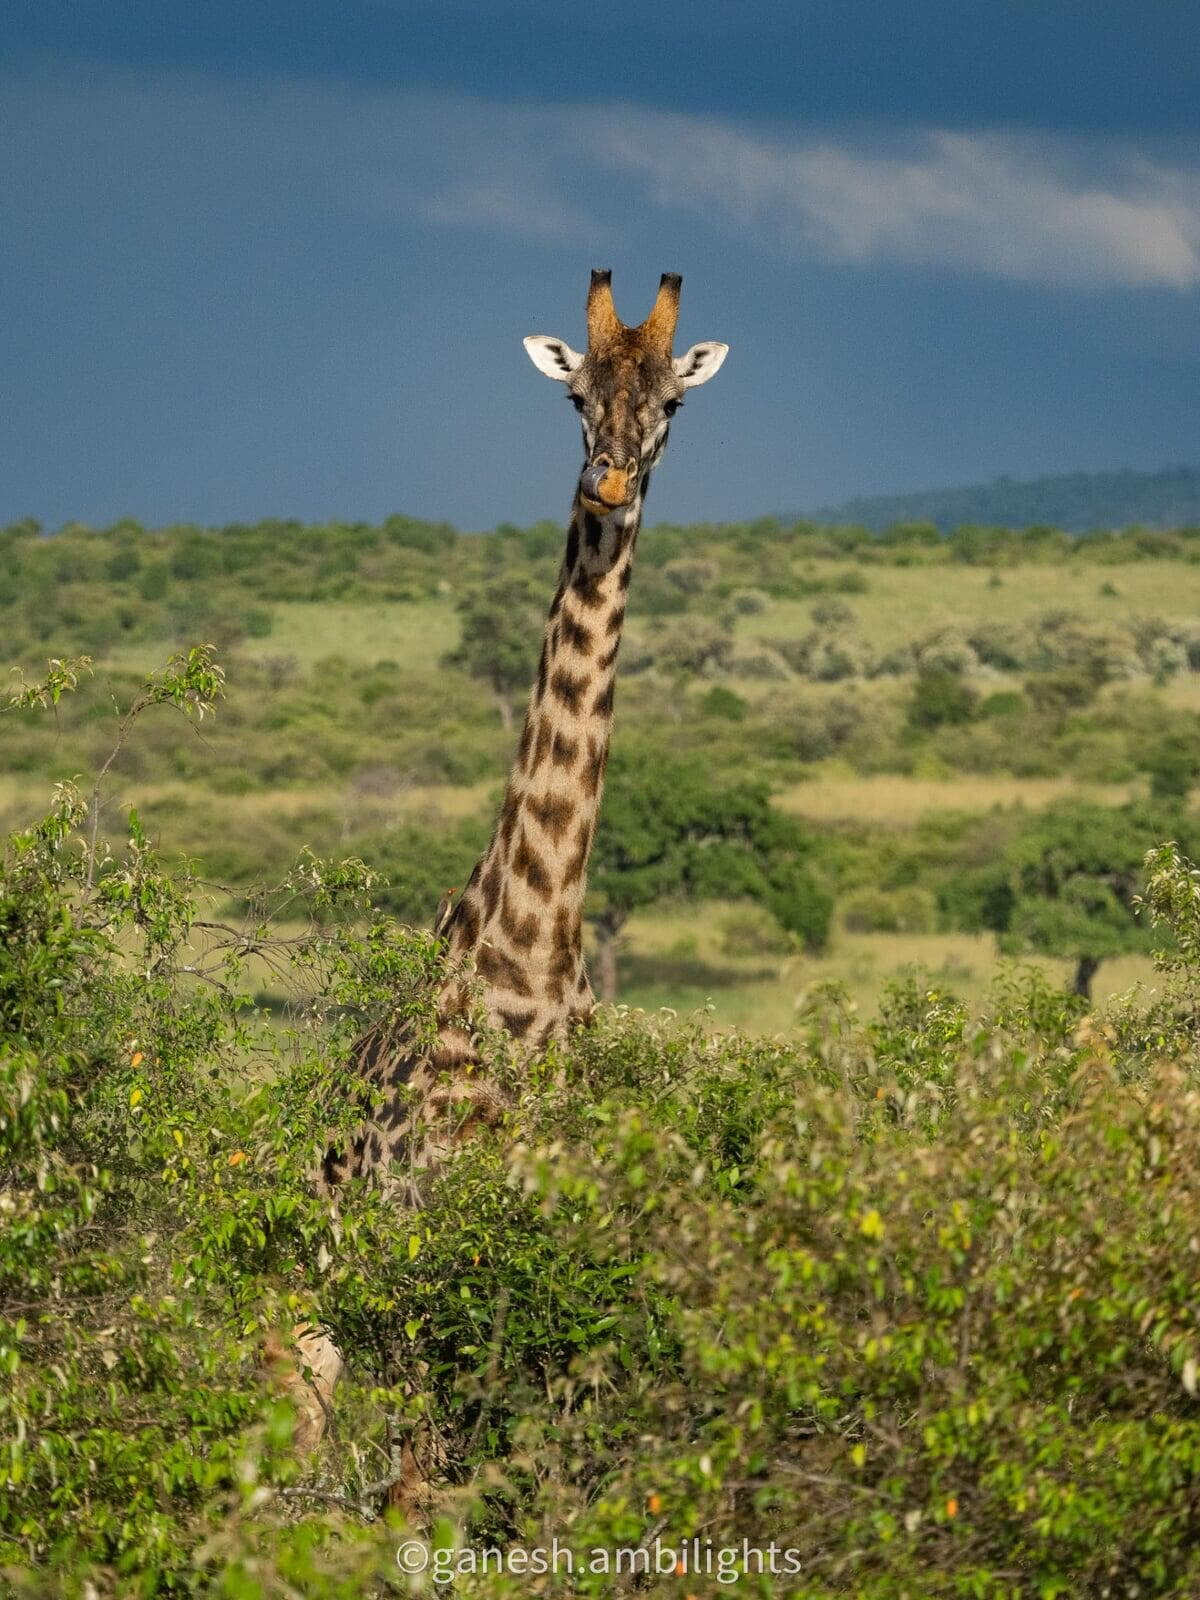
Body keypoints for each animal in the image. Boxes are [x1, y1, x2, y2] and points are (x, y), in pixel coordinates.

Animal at [286, 270, 728, 1461]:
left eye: (673, 403)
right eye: (575, 397)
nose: (611, 480)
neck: (530, 956)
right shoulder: (427, 1237)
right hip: (325, 1290)